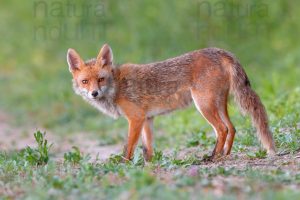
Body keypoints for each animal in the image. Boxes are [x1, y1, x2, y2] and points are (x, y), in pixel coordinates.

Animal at [67, 43, 276, 161]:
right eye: (85, 81)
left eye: (100, 79)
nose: (94, 93)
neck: (117, 86)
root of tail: (220, 51)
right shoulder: (147, 119)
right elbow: (147, 150)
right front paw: (149, 167)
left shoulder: (135, 118)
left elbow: (129, 148)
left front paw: (124, 166)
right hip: (219, 104)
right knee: (232, 128)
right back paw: (224, 155)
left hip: (204, 105)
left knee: (222, 129)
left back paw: (212, 157)